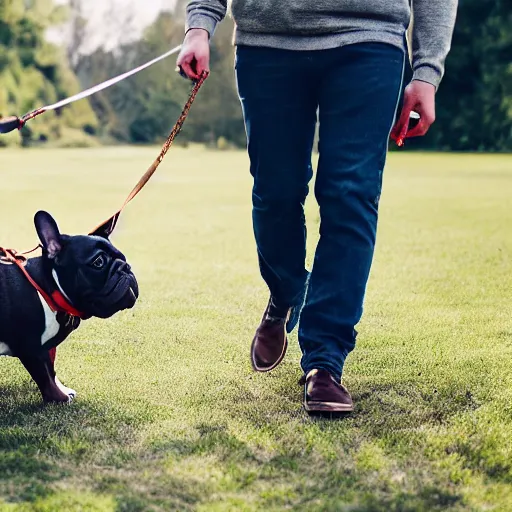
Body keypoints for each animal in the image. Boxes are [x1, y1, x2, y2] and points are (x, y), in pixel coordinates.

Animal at [0, 212, 138, 404]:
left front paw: (62, 390)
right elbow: (44, 376)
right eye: (99, 262)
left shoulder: (44, 348)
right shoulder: (30, 348)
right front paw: (59, 398)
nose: (125, 268)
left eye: (123, 258)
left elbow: (50, 370)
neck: (47, 288)